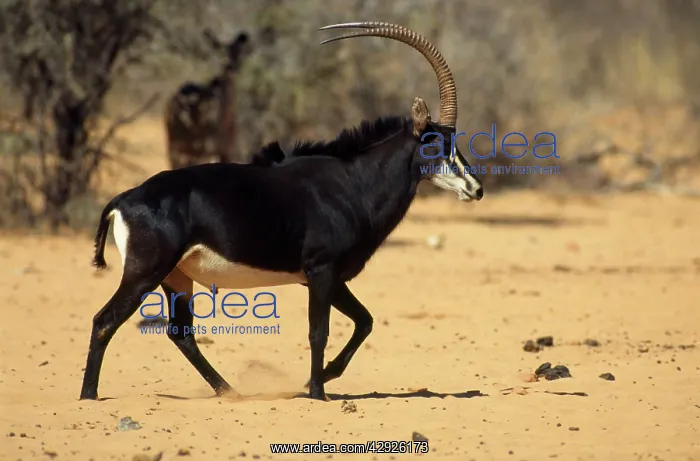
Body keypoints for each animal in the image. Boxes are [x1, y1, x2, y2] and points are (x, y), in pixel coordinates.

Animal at [164, 30, 251, 170]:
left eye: (238, 51)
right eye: (221, 50)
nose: (231, 67)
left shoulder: (224, 151)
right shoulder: (214, 151)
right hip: (184, 149)